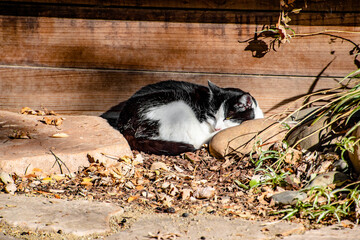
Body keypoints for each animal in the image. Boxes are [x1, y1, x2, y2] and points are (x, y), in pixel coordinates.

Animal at [116, 80, 262, 156]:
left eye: (228, 117)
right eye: (212, 115)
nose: (217, 127)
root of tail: (124, 124)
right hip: (178, 107)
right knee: (196, 140)